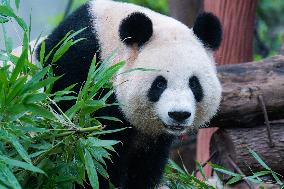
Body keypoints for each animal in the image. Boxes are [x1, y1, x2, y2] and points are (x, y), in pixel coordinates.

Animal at [36, 0, 222, 189]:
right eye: (160, 83)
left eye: (194, 83)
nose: (179, 114)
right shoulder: (80, 78)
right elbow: (99, 156)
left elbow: (145, 167)